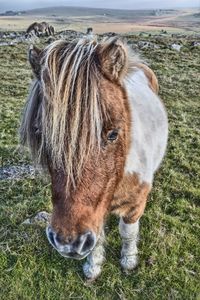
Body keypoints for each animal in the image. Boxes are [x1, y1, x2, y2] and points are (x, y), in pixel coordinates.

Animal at [20, 38, 167, 282]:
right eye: (40, 132)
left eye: (113, 134)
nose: (68, 243)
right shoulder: (95, 215)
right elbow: (98, 238)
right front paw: (93, 266)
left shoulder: (136, 205)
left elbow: (128, 233)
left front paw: (129, 260)